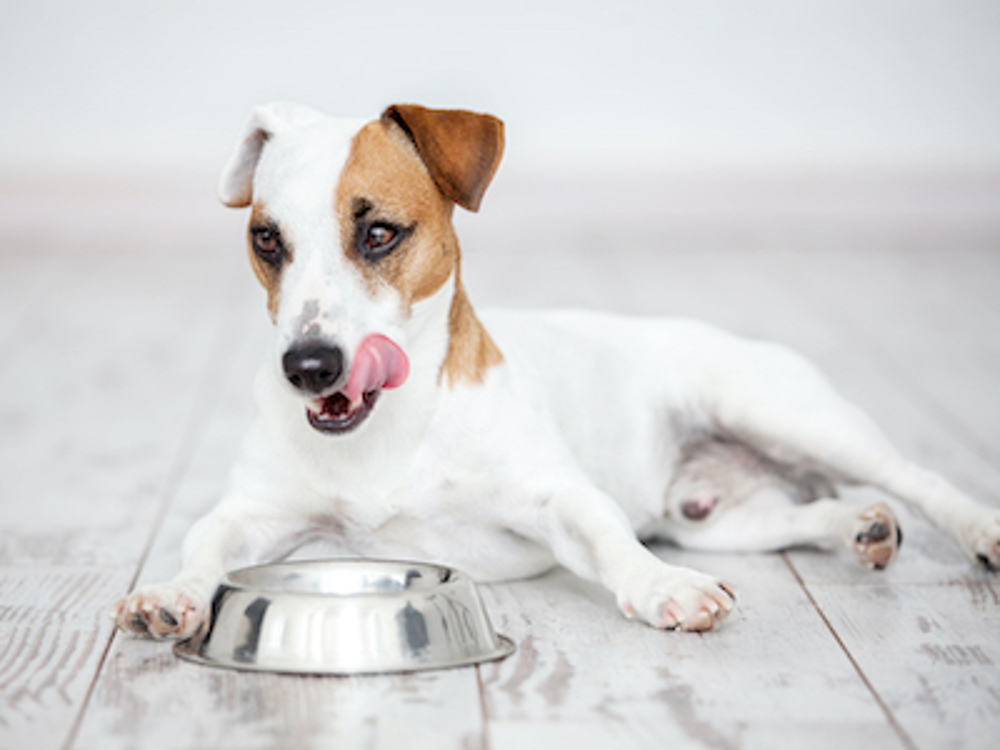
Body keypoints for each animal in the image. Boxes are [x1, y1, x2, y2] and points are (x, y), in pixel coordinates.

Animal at [111, 103, 1000, 636]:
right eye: (267, 240)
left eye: (379, 234)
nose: (308, 365)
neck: (394, 430)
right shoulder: (254, 513)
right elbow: (206, 539)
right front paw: (173, 591)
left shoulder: (556, 497)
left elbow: (606, 537)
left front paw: (663, 588)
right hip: (708, 518)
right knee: (797, 516)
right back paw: (855, 526)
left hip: (784, 412)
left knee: (915, 477)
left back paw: (976, 528)